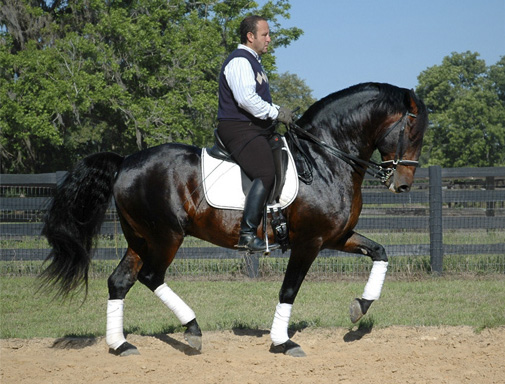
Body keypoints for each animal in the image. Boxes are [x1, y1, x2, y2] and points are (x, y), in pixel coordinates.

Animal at [43, 82, 428, 358]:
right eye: (414, 131)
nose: (403, 185)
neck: (324, 159)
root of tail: (125, 162)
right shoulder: (310, 242)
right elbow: (289, 289)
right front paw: (282, 342)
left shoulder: (336, 236)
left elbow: (380, 252)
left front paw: (359, 307)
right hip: (166, 236)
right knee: (151, 276)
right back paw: (192, 331)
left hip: (140, 238)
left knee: (119, 281)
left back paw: (121, 345)